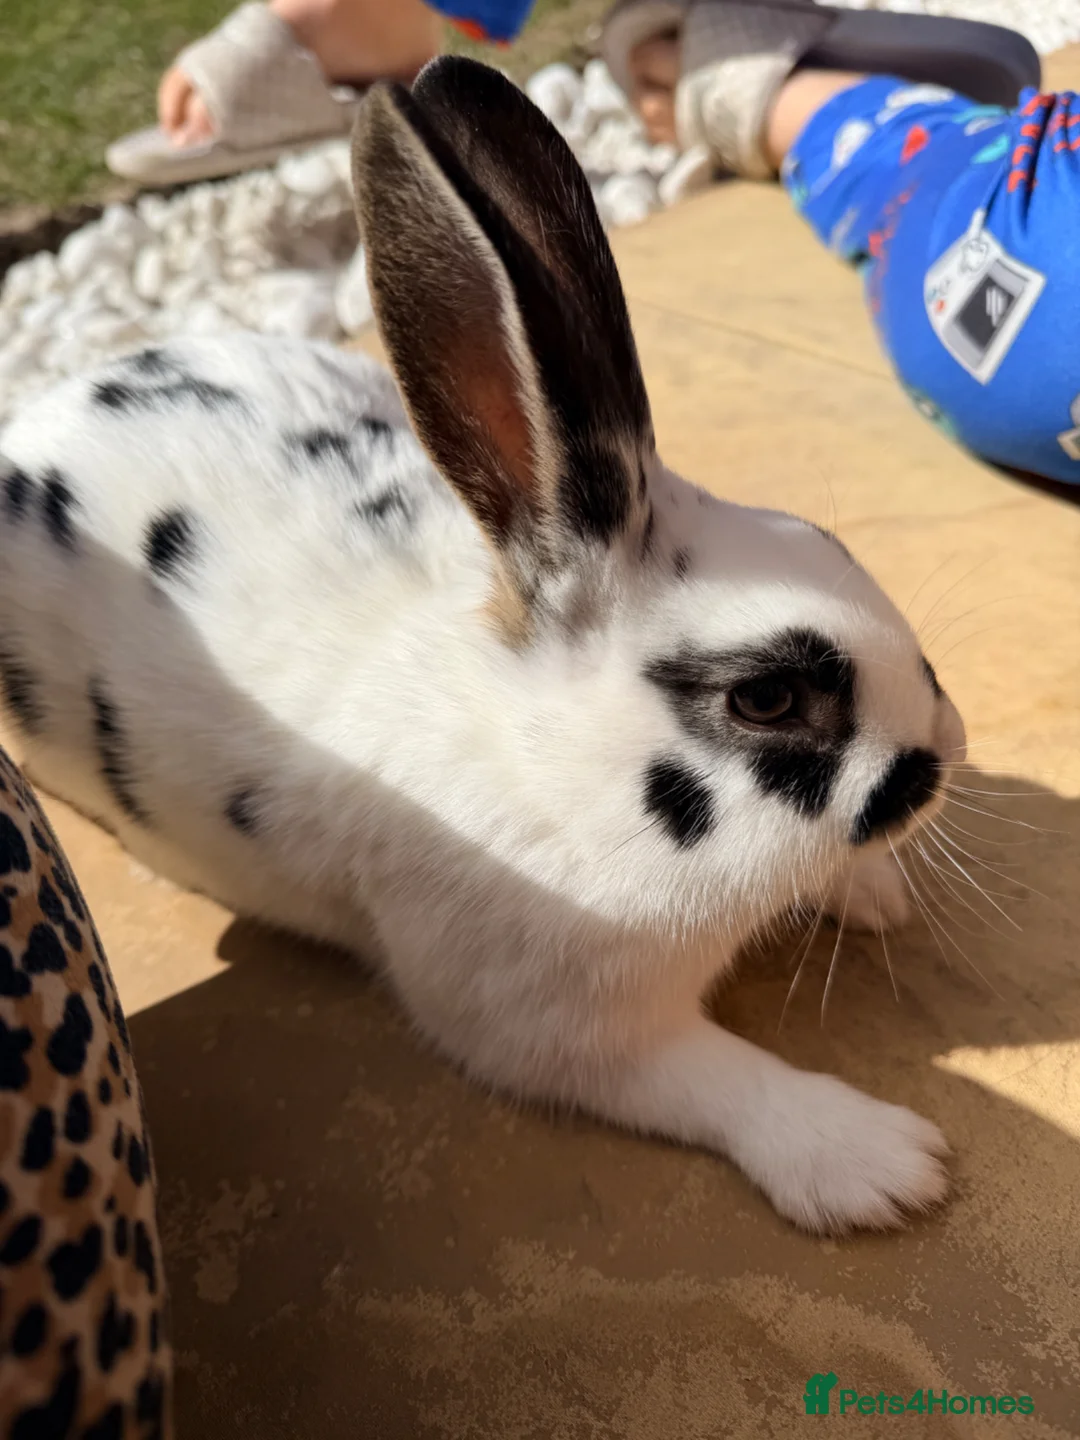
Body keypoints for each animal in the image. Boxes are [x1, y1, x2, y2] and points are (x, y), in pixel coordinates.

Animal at [0, 57, 965, 1235]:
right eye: (768, 700)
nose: (946, 748)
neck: (555, 762)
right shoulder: (560, 1030)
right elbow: (719, 1081)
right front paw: (879, 1164)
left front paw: (872, 893)